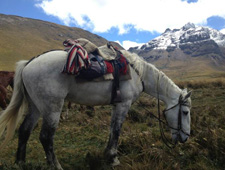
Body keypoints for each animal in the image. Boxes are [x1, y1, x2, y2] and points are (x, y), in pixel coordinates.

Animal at [0, 48, 192, 169]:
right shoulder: (124, 104)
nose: (185, 138)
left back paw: (20, 162)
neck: (139, 73)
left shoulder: (116, 105)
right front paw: (113, 158)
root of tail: (29, 63)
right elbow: (117, 131)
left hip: (36, 106)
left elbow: (112, 130)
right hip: (52, 107)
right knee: (46, 137)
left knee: (24, 130)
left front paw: (108, 156)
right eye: (185, 112)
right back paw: (55, 166)